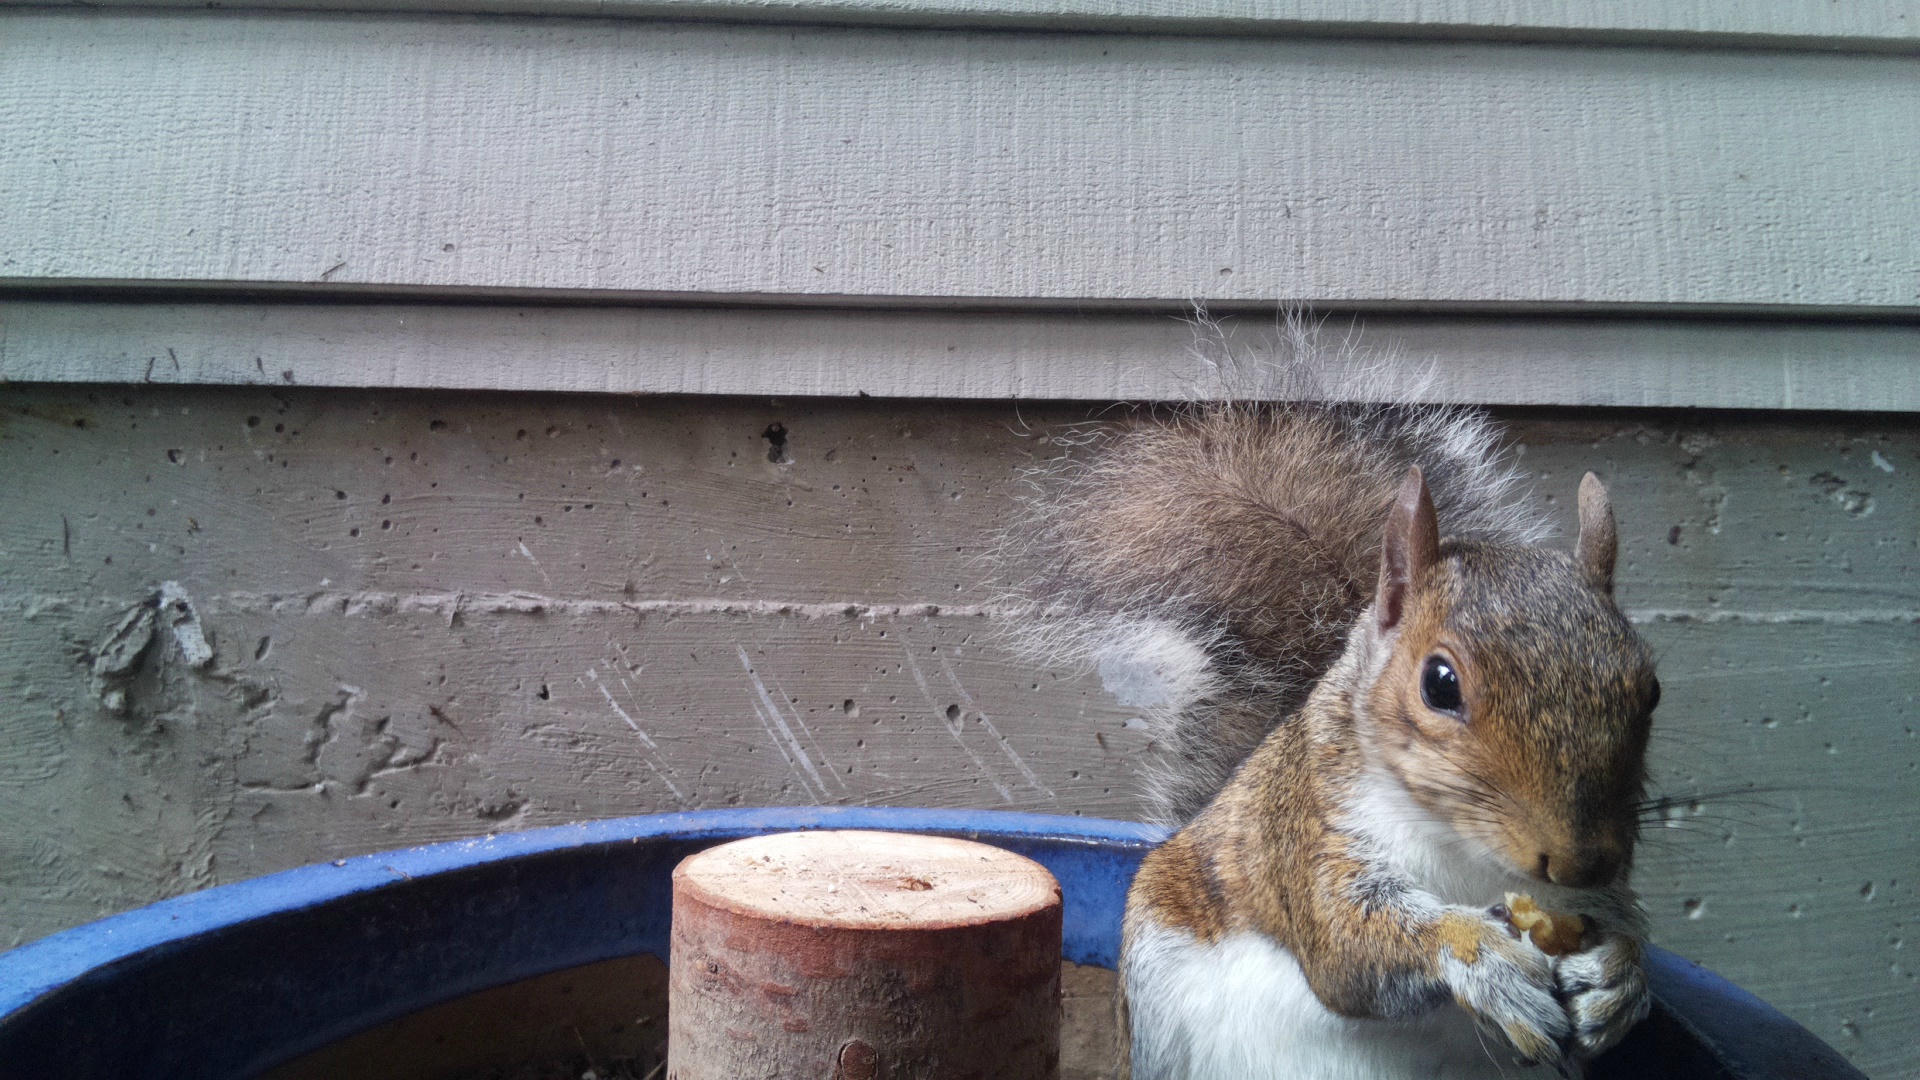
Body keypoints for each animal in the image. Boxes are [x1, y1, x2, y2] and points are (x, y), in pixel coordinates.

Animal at [1004, 319, 1660, 1078]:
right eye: (1440, 683)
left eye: (1651, 690)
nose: (1582, 859)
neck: (1471, 855)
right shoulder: (1313, 830)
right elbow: (1350, 944)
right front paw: (1479, 957)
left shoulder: (1593, 896)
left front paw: (1619, 980)